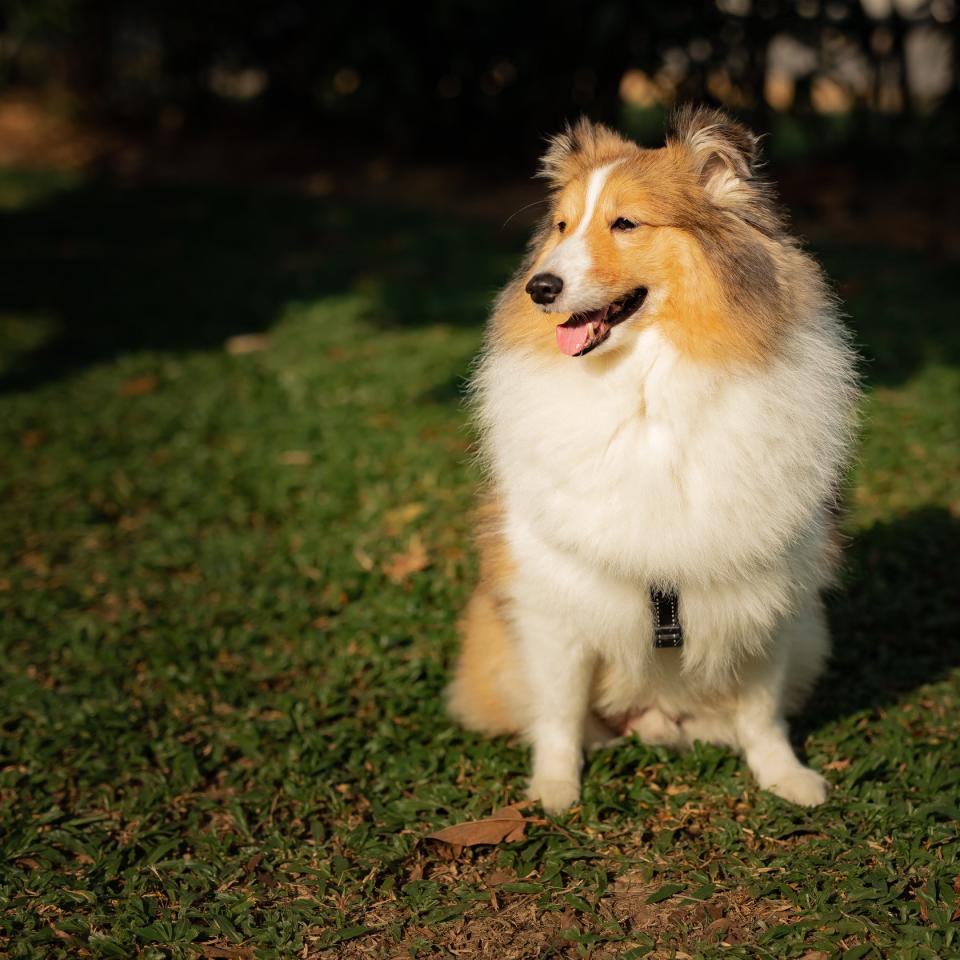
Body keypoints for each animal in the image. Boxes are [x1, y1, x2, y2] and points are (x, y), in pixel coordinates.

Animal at [446, 109, 860, 812]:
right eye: (561, 226)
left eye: (626, 223)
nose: (538, 288)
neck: (648, 384)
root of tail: (655, 715)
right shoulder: (554, 600)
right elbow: (558, 710)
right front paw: (554, 791)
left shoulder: (770, 599)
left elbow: (762, 709)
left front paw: (786, 778)